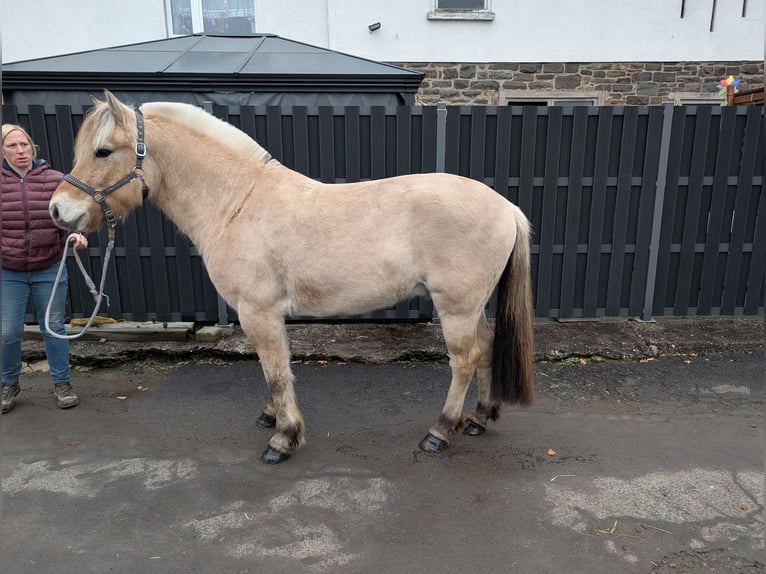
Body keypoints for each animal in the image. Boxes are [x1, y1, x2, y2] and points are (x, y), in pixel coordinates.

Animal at [51, 92, 536, 466]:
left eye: (103, 151)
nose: (59, 211)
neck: (236, 202)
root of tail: (505, 207)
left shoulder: (258, 312)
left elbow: (276, 373)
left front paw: (283, 439)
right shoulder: (269, 315)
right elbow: (279, 368)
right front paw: (272, 417)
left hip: (456, 307)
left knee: (465, 360)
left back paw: (440, 431)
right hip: (472, 306)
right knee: (486, 347)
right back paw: (478, 418)